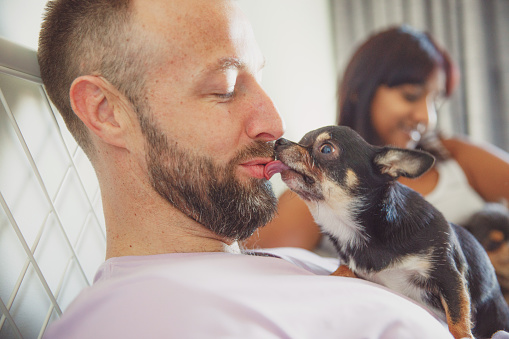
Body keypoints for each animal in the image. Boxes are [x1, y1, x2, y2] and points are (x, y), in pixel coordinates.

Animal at [266, 126, 508, 339]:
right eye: (302, 140)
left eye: (326, 149)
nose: (279, 141)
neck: (359, 230)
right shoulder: (352, 266)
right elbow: (341, 270)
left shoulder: (449, 275)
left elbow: (457, 319)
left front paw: (462, 335)